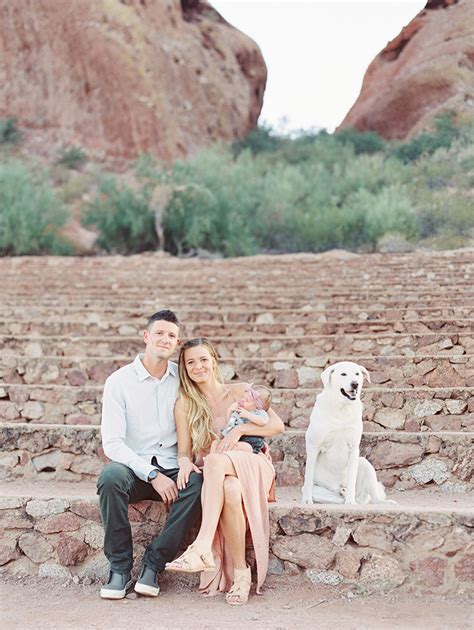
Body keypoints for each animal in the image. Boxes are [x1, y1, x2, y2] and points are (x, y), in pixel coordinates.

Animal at [304, 362, 392, 506]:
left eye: (357, 374)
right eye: (343, 374)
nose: (355, 383)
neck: (342, 408)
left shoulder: (353, 449)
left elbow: (351, 479)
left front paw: (350, 502)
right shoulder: (313, 446)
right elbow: (308, 476)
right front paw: (306, 500)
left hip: (365, 464)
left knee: (372, 497)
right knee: (334, 498)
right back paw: (341, 493)